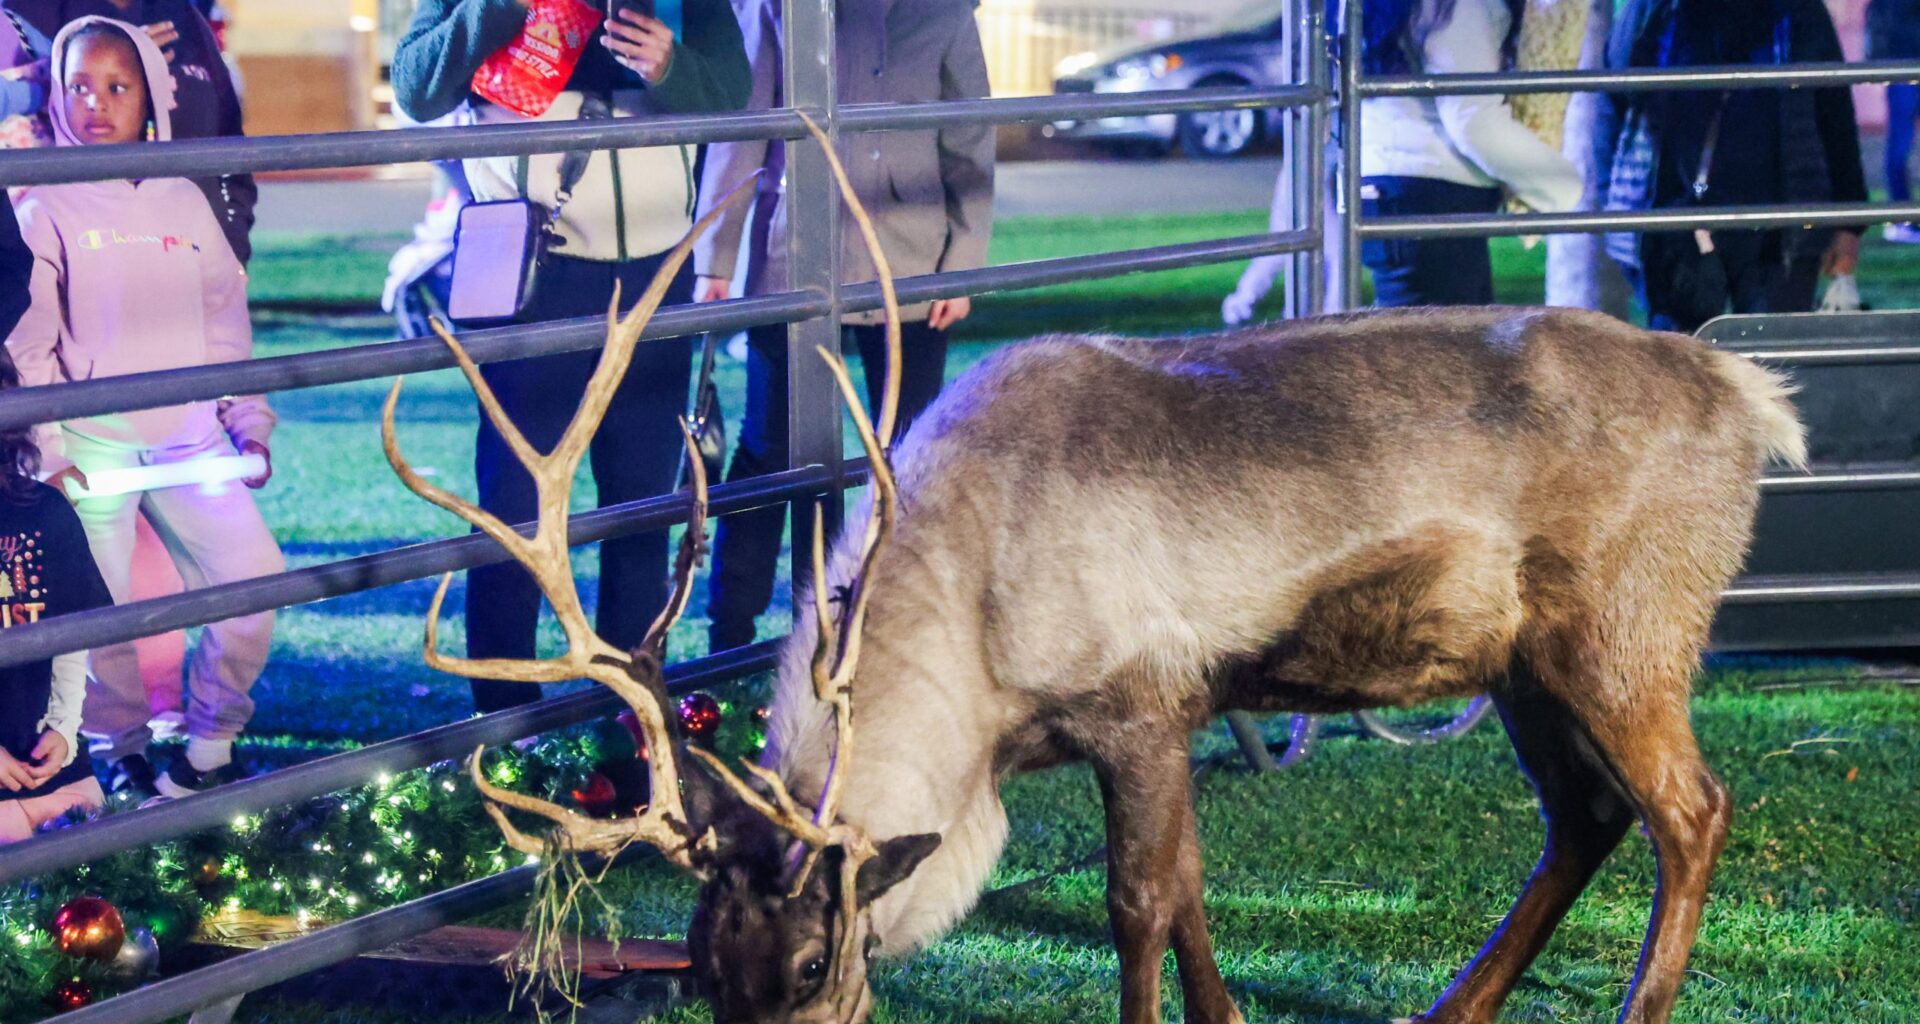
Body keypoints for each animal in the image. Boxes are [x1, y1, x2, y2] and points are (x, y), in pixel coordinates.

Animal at [383, 121, 1805, 1024]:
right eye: (695, 969)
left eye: (811, 965)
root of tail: (1748, 395)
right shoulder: (1162, 720)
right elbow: (1192, 900)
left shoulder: (1141, 705)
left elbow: (1142, 905)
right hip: (1519, 662)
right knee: (1586, 815)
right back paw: (1452, 1008)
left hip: (1627, 633)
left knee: (1690, 809)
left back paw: (1632, 1004)